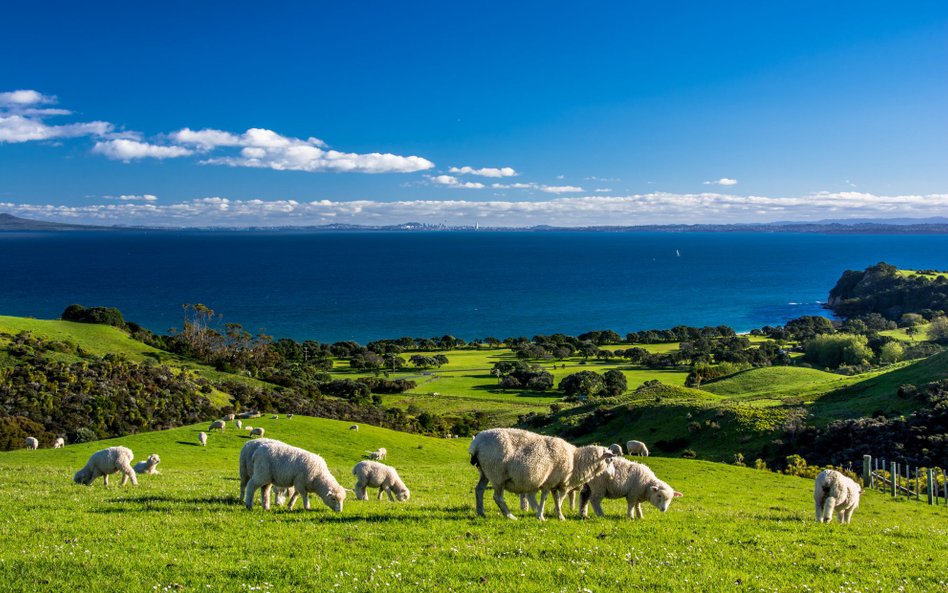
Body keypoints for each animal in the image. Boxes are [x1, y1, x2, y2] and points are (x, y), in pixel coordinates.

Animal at [470, 426, 620, 520]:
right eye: (610, 459)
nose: (613, 475)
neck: (575, 460)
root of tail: (477, 442)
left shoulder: (555, 483)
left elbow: (557, 500)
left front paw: (560, 516)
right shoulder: (549, 482)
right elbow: (546, 498)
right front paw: (541, 516)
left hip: (485, 472)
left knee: (479, 490)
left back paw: (481, 512)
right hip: (497, 474)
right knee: (498, 497)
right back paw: (510, 516)